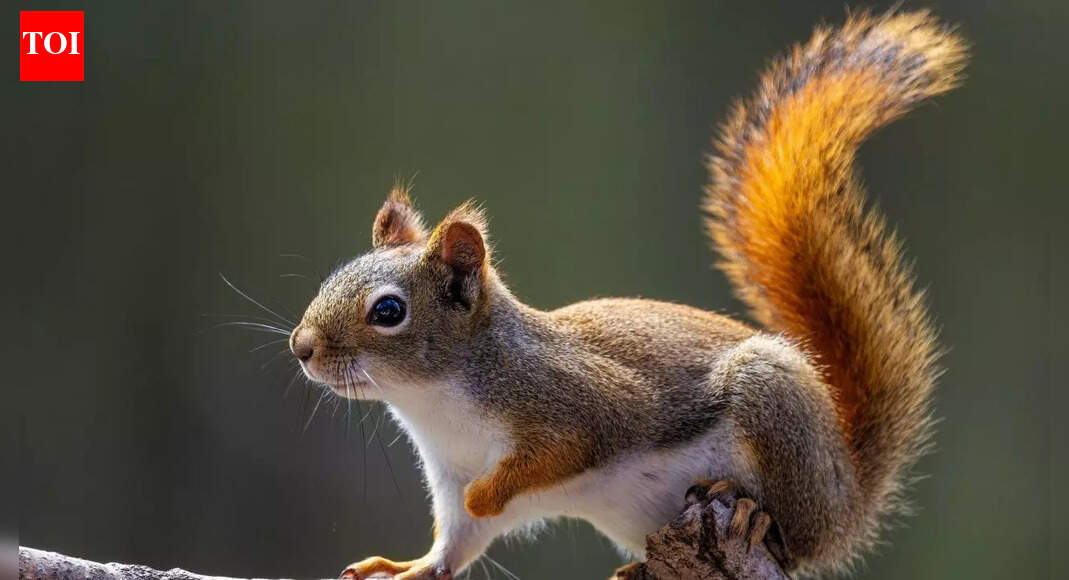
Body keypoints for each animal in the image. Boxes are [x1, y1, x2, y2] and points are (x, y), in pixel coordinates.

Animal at [288, 10, 966, 579]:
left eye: (388, 311)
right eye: (331, 278)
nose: (301, 347)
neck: (437, 402)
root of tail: (847, 499)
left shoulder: (582, 402)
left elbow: (557, 454)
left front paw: (491, 492)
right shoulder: (449, 477)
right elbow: (455, 545)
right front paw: (406, 566)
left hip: (774, 408)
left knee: (793, 538)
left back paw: (748, 510)